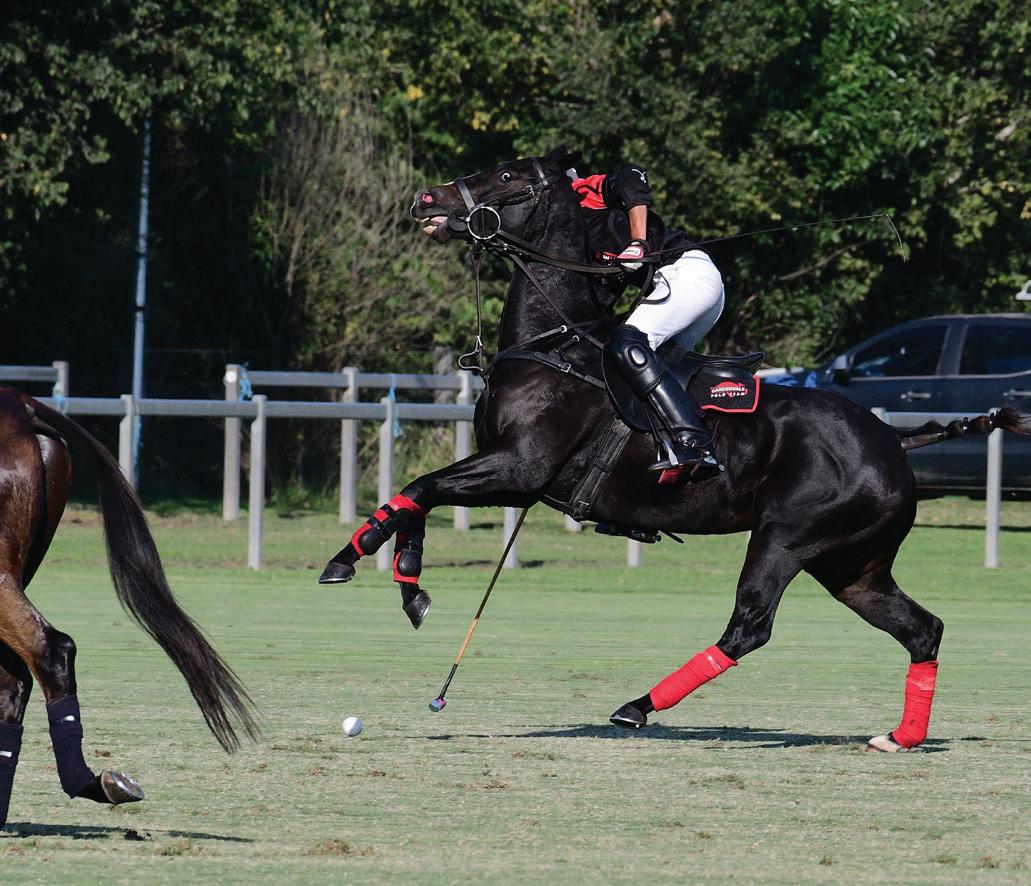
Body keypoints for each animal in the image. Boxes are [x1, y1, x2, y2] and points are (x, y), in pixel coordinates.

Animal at [319, 146, 1030, 752]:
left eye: (509, 176)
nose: (425, 199)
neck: (553, 343)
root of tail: (893, 438)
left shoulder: (519, 470)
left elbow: (420, 488)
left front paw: (353, 560)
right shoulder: (507, 471)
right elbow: (420, 497)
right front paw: (408, 584)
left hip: (787, 538)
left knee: (749, 626)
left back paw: (637, 706)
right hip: (852, 564)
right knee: (922, 628)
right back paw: (900, 736)